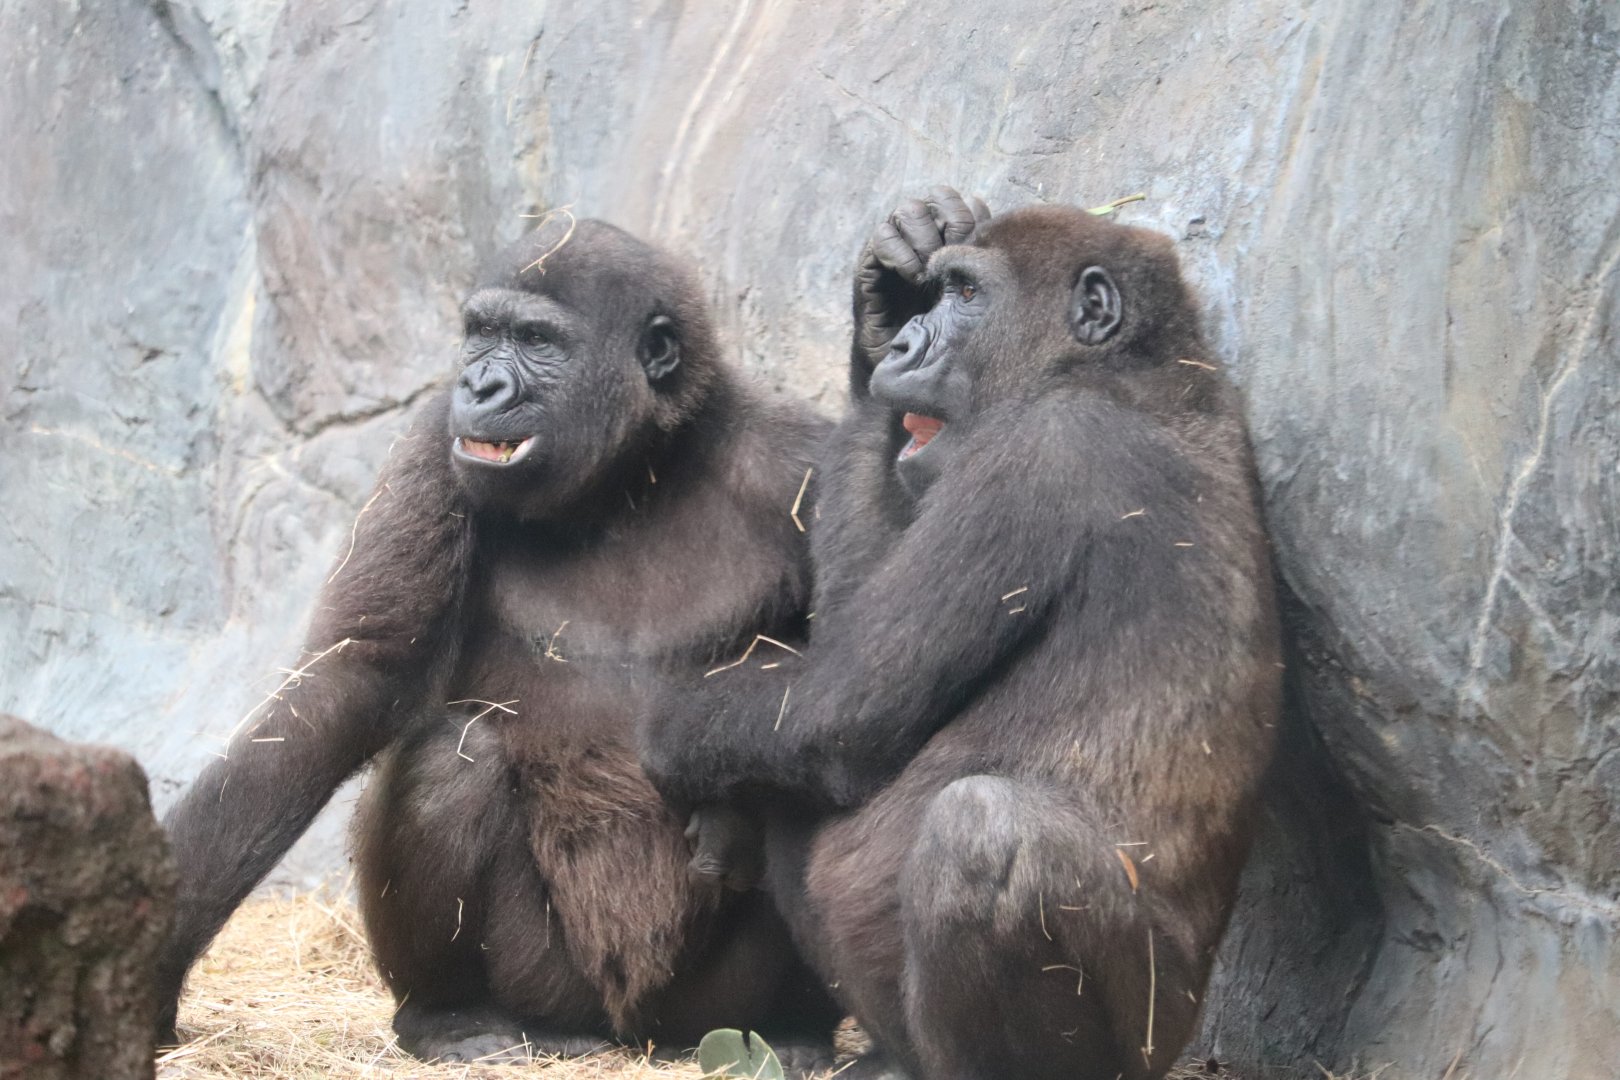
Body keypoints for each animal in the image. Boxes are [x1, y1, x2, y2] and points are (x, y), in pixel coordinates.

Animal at [154, 217, 838, 1072]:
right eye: (480, 334)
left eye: (537, 341)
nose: (478, 387)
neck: (636, 472)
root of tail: (632, 1034)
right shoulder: (432, 446)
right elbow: (356, 673)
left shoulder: (806, 460)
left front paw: (732, 817)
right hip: (549, 982)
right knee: (454, 757)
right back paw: (451, 1014)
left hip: (701, 1008)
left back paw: (796, 1026)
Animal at [641, 188, 1282, 1080]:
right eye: (938, 291)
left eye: (970, 296)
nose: (908, 343)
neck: (1128, 368)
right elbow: (834, 683)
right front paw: (881, 298)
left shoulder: (1042, 453)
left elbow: (841, 708)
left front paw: (668, 739)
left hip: (1150, 1037)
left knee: (982, 836)